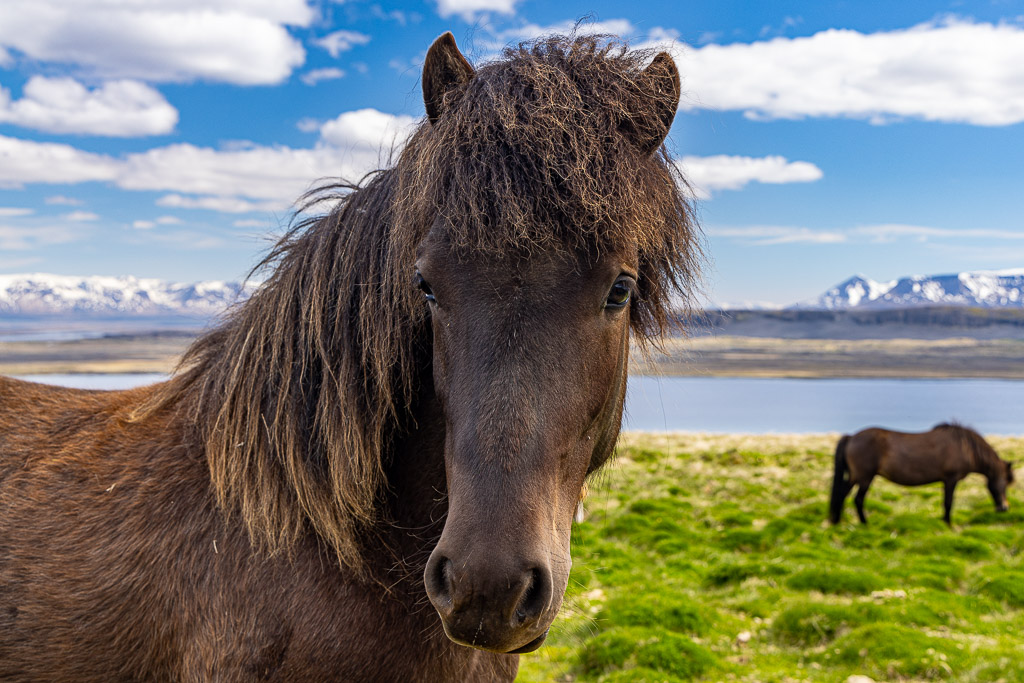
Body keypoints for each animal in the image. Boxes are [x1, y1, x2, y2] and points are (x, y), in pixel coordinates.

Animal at [831, 421, 1015, 528]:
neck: (965, 447)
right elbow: (948, 502)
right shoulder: (951, 479)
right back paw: (861, 523)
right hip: (863, 478)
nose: (1004, 508)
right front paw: (948, 524)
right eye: (1005, 482)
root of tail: (851, 437)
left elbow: (946, 502)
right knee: (853, 498)